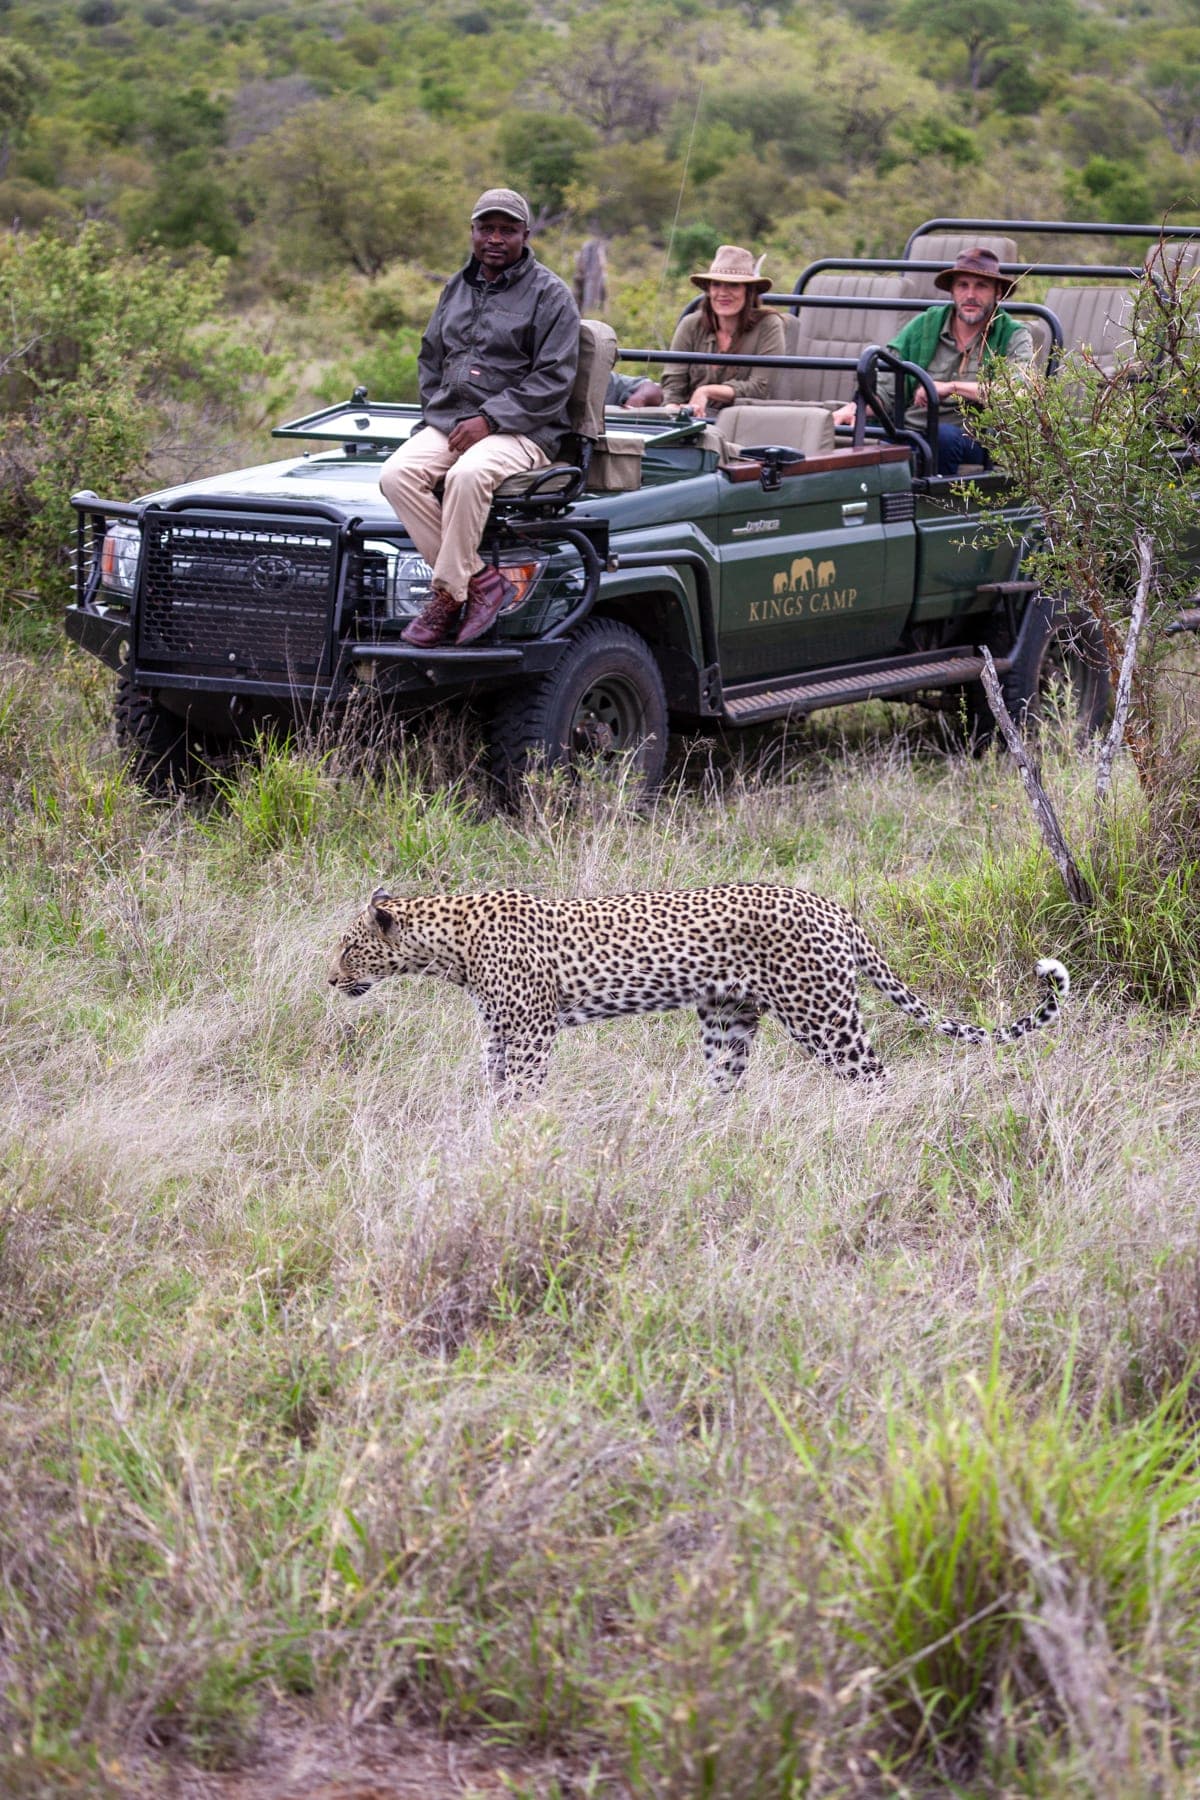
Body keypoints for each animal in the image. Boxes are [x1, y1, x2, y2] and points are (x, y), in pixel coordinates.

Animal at [328, 882, 1069, 1097]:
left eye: (347, 946)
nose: (331, 978)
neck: (447, 946)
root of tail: (833, 906)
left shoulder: (532, 1031)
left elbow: (521, 1090)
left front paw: (515, 1136)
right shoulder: (498, 1030)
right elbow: (492, 1082)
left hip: (824, 1015)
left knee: (876, 1078)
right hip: (727, 1019)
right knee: (727, 1085)